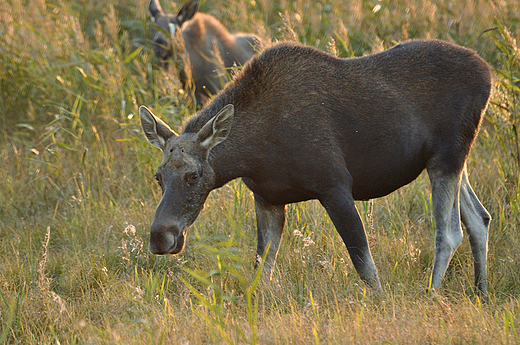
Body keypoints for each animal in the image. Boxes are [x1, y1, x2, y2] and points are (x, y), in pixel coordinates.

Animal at [140, 39, 494, 298]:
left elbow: (365, 266)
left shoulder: (335, 186)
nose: (160, 237)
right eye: (158, 177)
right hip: (453, 161)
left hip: (447, 157)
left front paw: (382, 303)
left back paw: (432, 294)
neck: (251, 154)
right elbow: (261, 271)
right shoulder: (268, 199)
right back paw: (481, 294)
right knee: (480, 218)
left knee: (449, 232)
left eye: (194, 175)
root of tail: (489, 73)